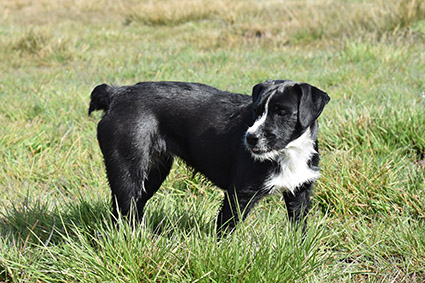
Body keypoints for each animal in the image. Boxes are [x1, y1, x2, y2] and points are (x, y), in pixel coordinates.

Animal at [88, 79, 330, 236]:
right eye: (256, 110)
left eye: (282, 112)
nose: (250, 138)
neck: (289, 152)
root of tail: (116, 94)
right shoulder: (239, 194)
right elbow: (225, 232)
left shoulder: (300, 192)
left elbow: (299, 231)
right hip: (128, 171)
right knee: (123, 212)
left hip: (153, 173)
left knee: (133, 210)